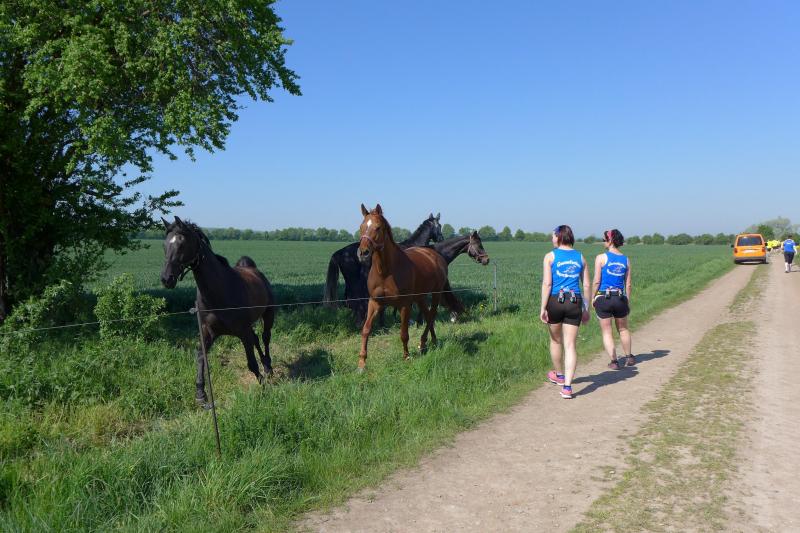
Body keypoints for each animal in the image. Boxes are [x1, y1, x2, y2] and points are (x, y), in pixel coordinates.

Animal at [160, 217, 275, 406]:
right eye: (164, 245)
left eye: (182, 244)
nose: (166, 279)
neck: (219, 292)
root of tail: (254, 270)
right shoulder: (208, 332)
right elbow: (201, 356)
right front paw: (200, 393)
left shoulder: (243, 332)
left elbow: (251, 363)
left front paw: (263, 384)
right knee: (257, 339)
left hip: (268, 315)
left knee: (265, 338)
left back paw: (268, 367)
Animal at [356, 203, 453, 370]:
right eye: (361, 226)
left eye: (378, 227)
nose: (363, 253)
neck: (386, 271)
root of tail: (436, 256)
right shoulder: (374, 302)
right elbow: (366, 329)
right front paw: (362, 362)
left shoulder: (404, 305)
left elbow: (403, 333)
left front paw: (406, 356)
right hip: (420, 297)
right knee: (428, 315)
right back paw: (429, 342)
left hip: (435, 293)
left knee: (431, 315)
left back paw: (424, 342)